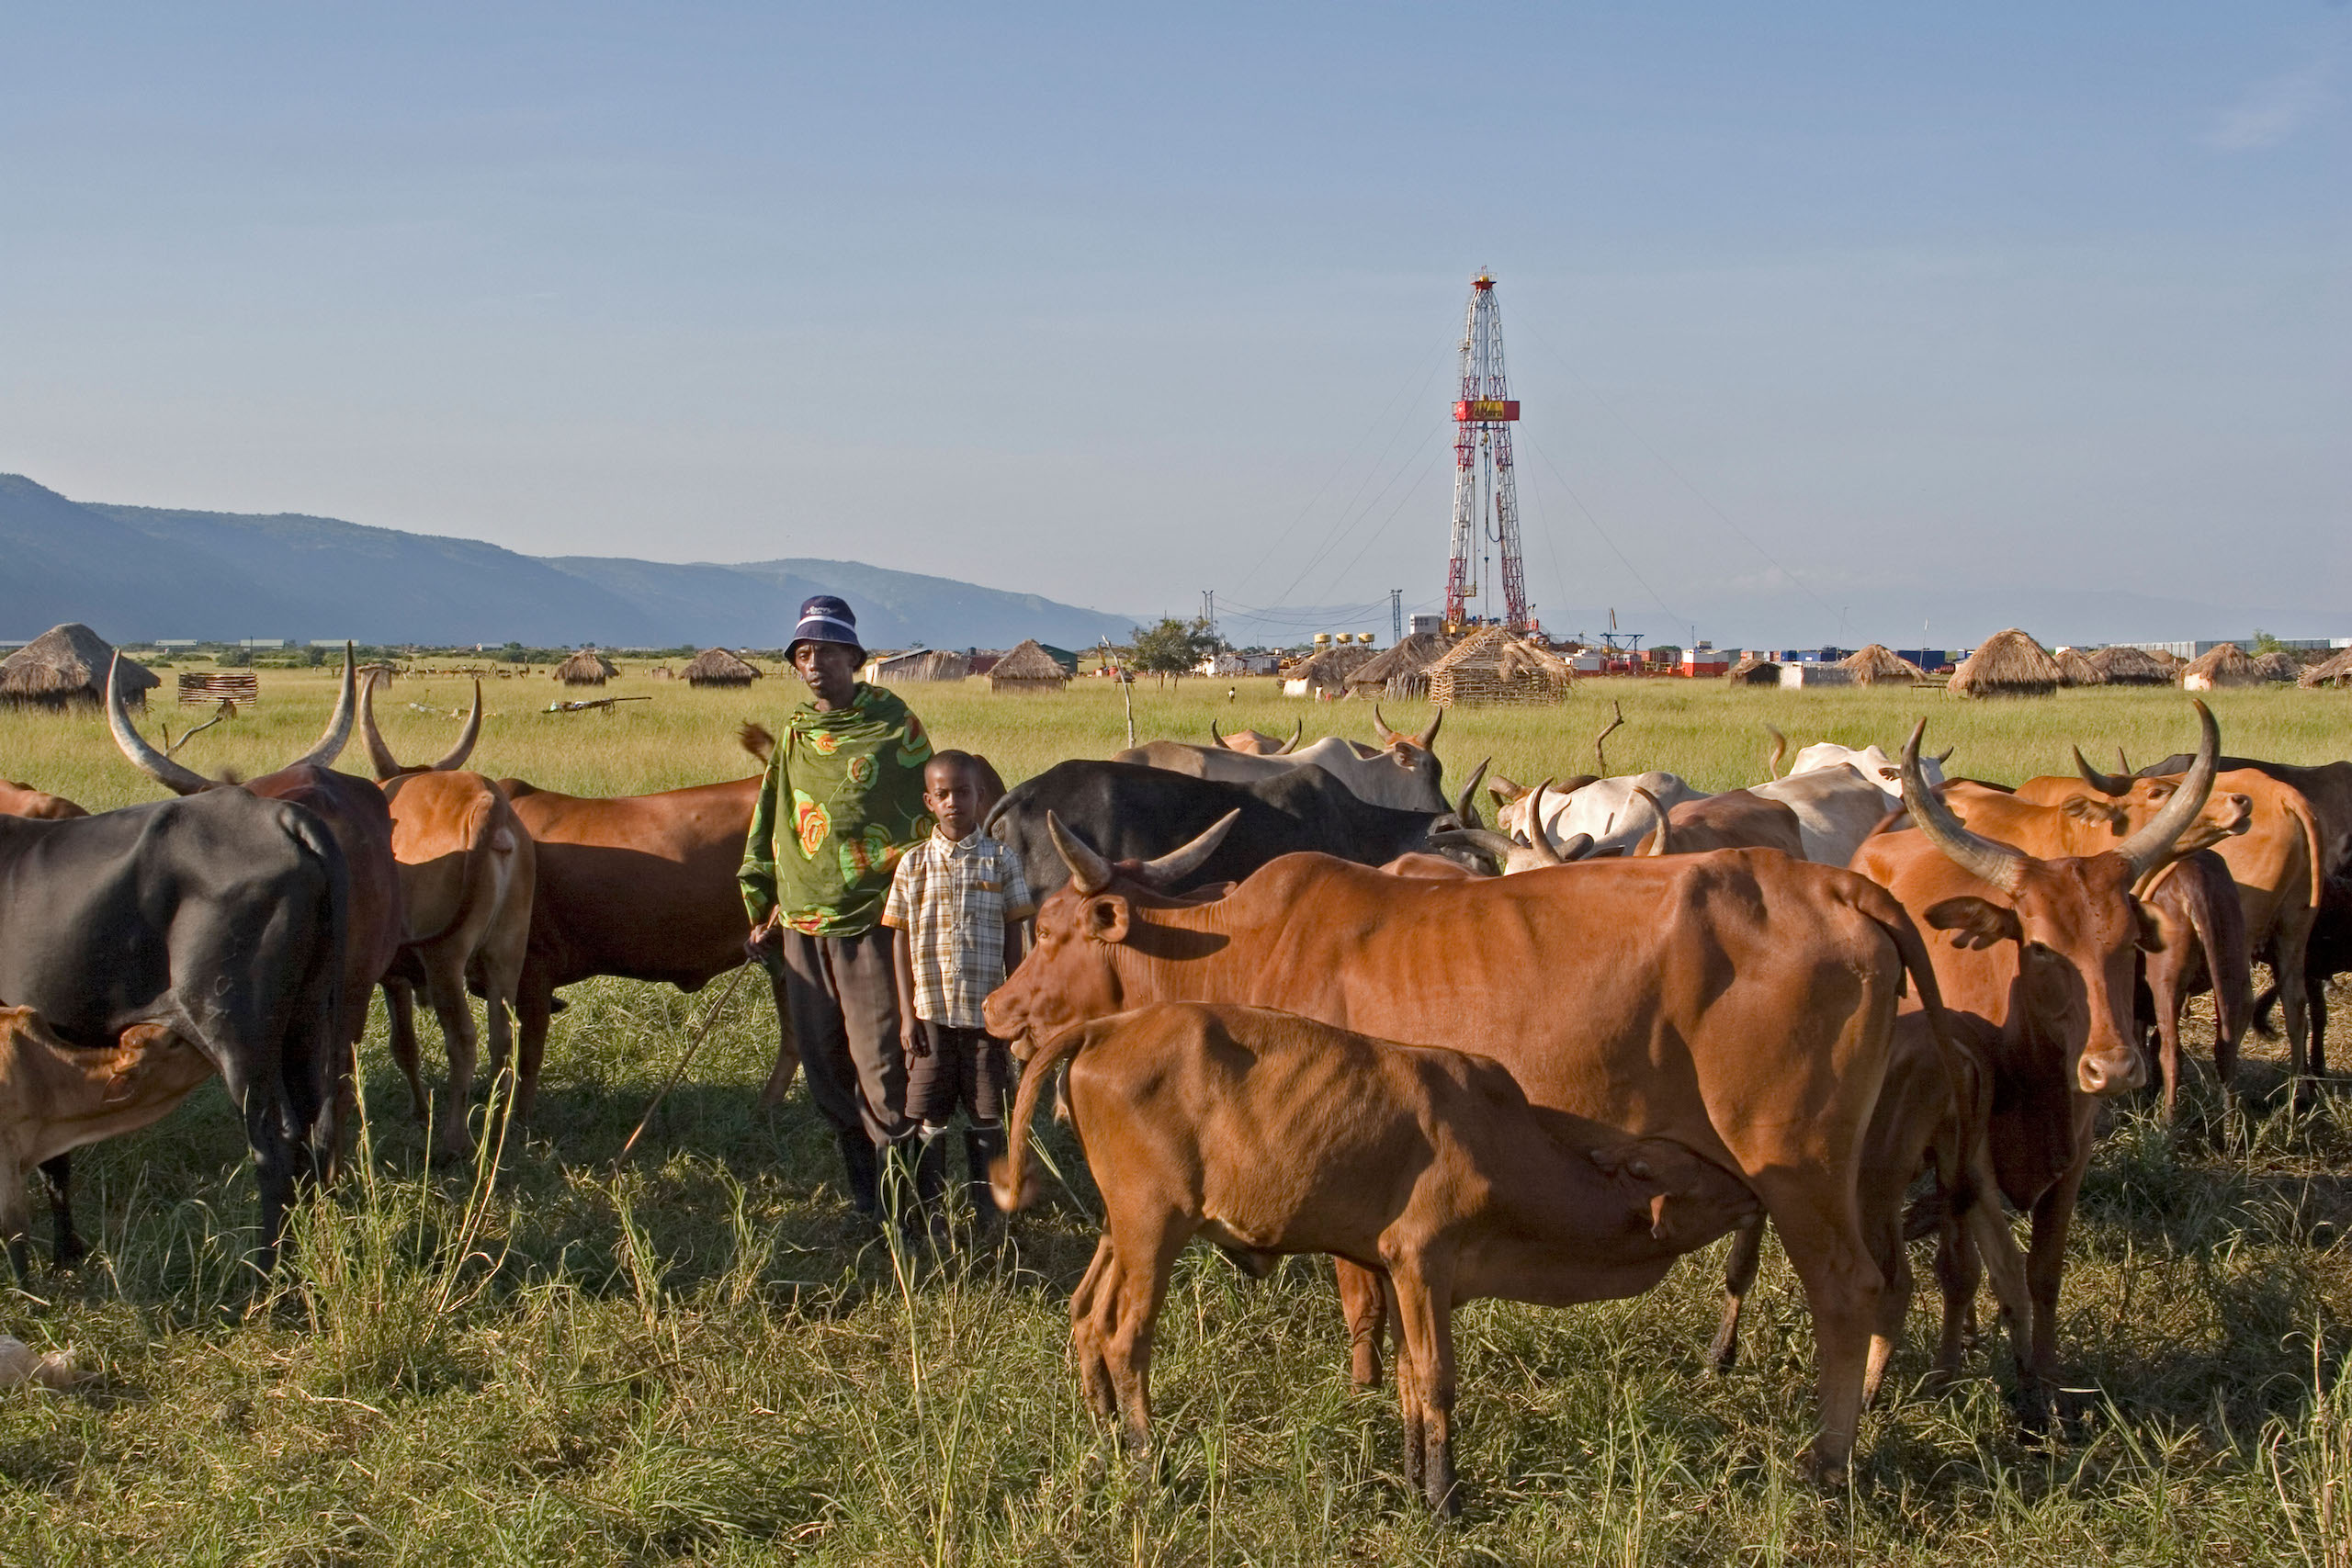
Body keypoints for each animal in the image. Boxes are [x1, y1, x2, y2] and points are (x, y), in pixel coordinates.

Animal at [359, 675, 537, 1157]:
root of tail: (489, 804)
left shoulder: (391, 976)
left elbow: (403, 1045)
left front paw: (421, 1111)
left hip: (444, 960)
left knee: (463, 1040)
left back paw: (453, 1140)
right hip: (507, 953)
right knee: (502, 1040)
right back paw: (501, 1119)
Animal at [990, 1001, 1759, 1514]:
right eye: (1692, 1171)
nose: (1753, 1191)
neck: (1503, 1142)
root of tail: (1108, 1025)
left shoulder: (1401, 1274)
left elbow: (1410, 1377)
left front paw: (1418, 1481)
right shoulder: (1424, 1259)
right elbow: (1438, 1379)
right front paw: (1446, 1499)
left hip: (1122, 1231)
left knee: (1088, 1319)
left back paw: (1110, 1436)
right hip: (1154, 1229)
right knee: (1127, 1341)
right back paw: (1153, 1466)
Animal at [1846, 713, 2220, 1405]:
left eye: (2131, 939)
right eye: (2041, 945)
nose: (2114, 1067)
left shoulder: (2074, 1155)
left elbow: (2043, 1274)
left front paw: (2046, 1378)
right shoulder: (1973, 1160)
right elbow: (1992, 1272)